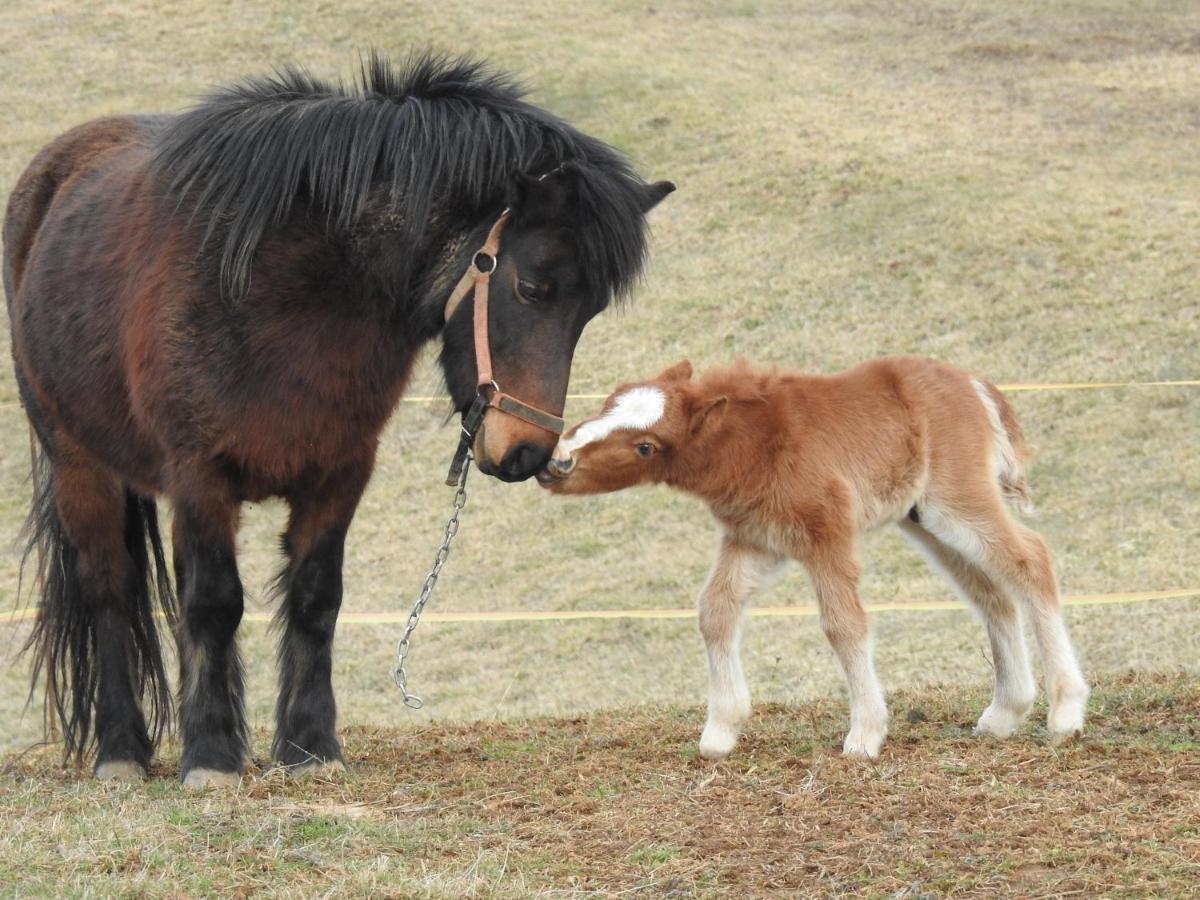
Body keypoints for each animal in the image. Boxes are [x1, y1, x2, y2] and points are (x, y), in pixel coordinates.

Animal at [2, 56, 676, 787]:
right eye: (531, 287)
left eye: (590, 311)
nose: (527, 452)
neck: (284, 293)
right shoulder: (198, 478)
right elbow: (212, 603)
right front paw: (210, 755)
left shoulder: (341, 470)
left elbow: (316, 599)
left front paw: (308, 748)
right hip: (78, 465)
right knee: (109, 590)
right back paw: (121, 750)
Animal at [542, 360, 1089, 763]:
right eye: (610, 401)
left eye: (646, 446)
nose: (557, 461)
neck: (758, 441)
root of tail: (974, 384)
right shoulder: (756, 541)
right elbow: (715, 610)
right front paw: (721, 729)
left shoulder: (825, 535)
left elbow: (843, 625)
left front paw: (865, 734)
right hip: (924, 519)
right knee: (991, 593)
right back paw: (1005, 713)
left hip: (957, 502)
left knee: (1030, 561)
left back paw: (1064, 713)